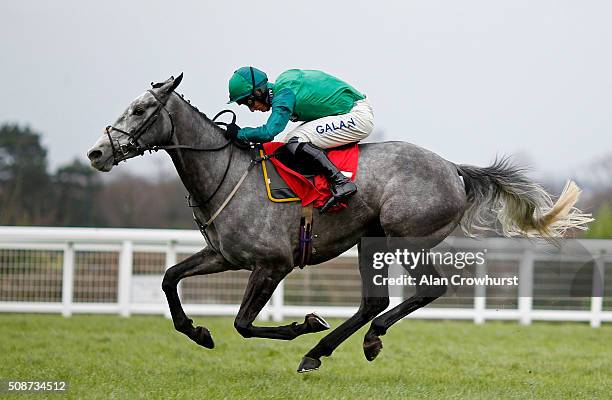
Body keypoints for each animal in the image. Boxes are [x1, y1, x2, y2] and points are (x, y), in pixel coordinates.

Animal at [87, 74, 592, 372]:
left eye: (140, 110)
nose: (96, 152)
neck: (224, 173)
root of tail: (454, 169)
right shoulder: (223, 255)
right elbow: (170, 278)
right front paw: (197, 331)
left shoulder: (273, 263)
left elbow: (245, 324)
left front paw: (304, 324)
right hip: (370, 241)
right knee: (374, 302)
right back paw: (323, 352)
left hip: (407, 237)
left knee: (427, 289)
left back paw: (356, 341)